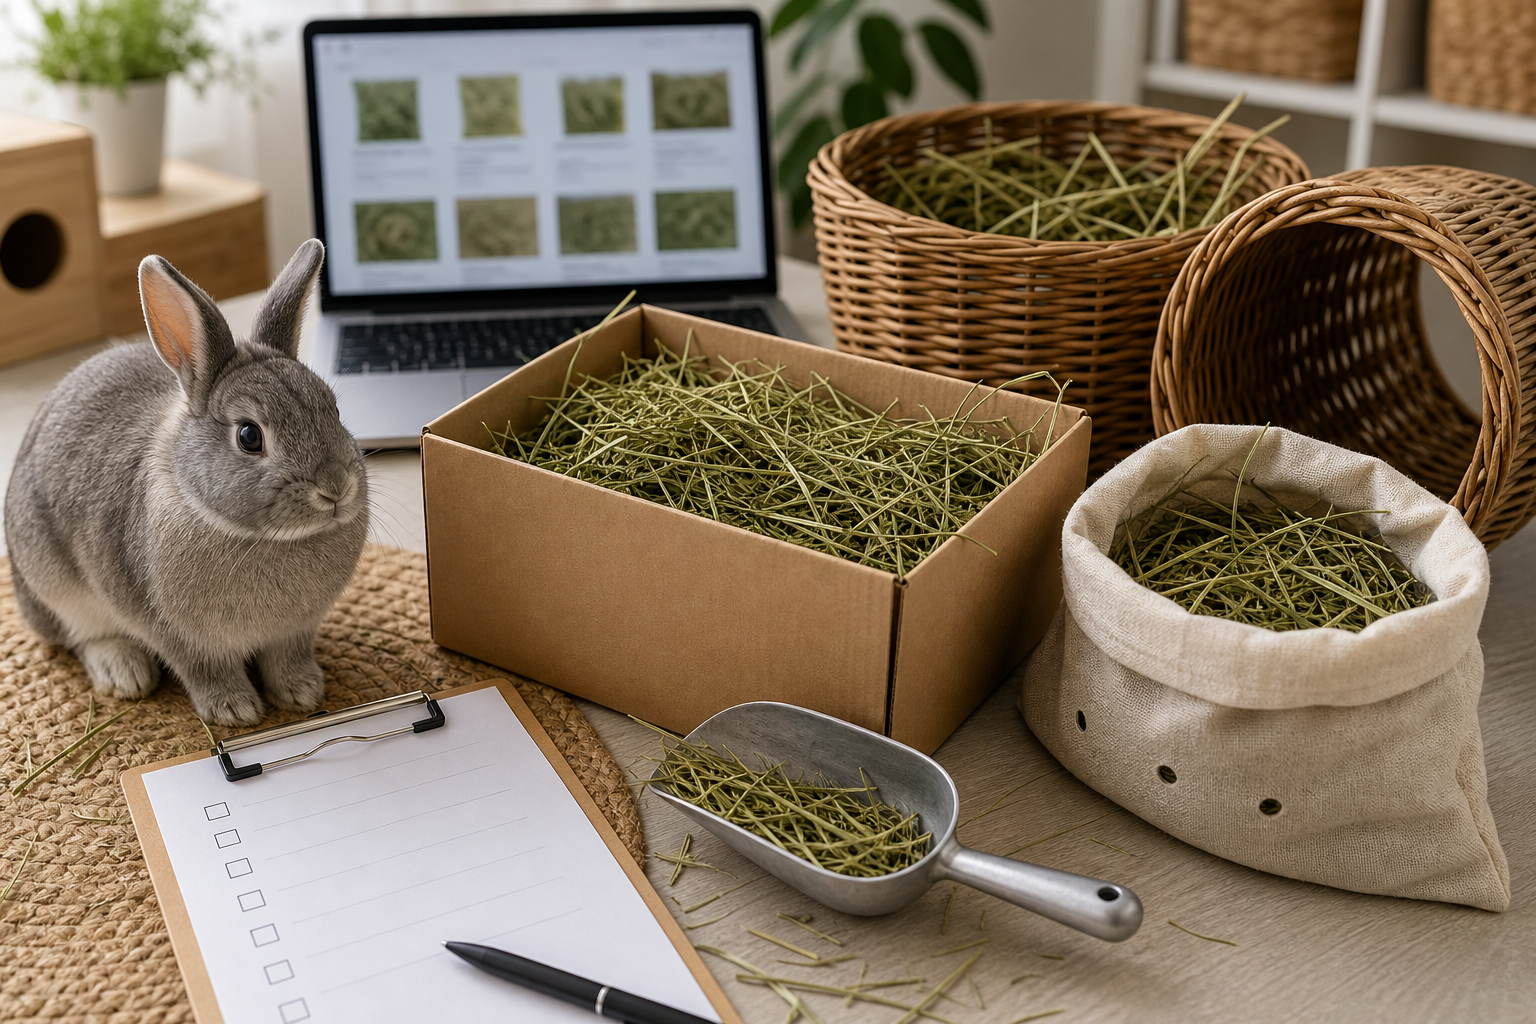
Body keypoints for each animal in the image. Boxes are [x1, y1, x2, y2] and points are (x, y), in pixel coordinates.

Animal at [3, 239, 368, 726]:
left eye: (334, 409)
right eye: (249, 436)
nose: (336, 488)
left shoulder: (295, 631)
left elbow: (286, 658)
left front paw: (302, 693)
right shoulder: (176, 634)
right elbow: (204, 669)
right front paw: (234, 710)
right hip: (54, 586)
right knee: (81, 637)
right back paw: (124, 673)